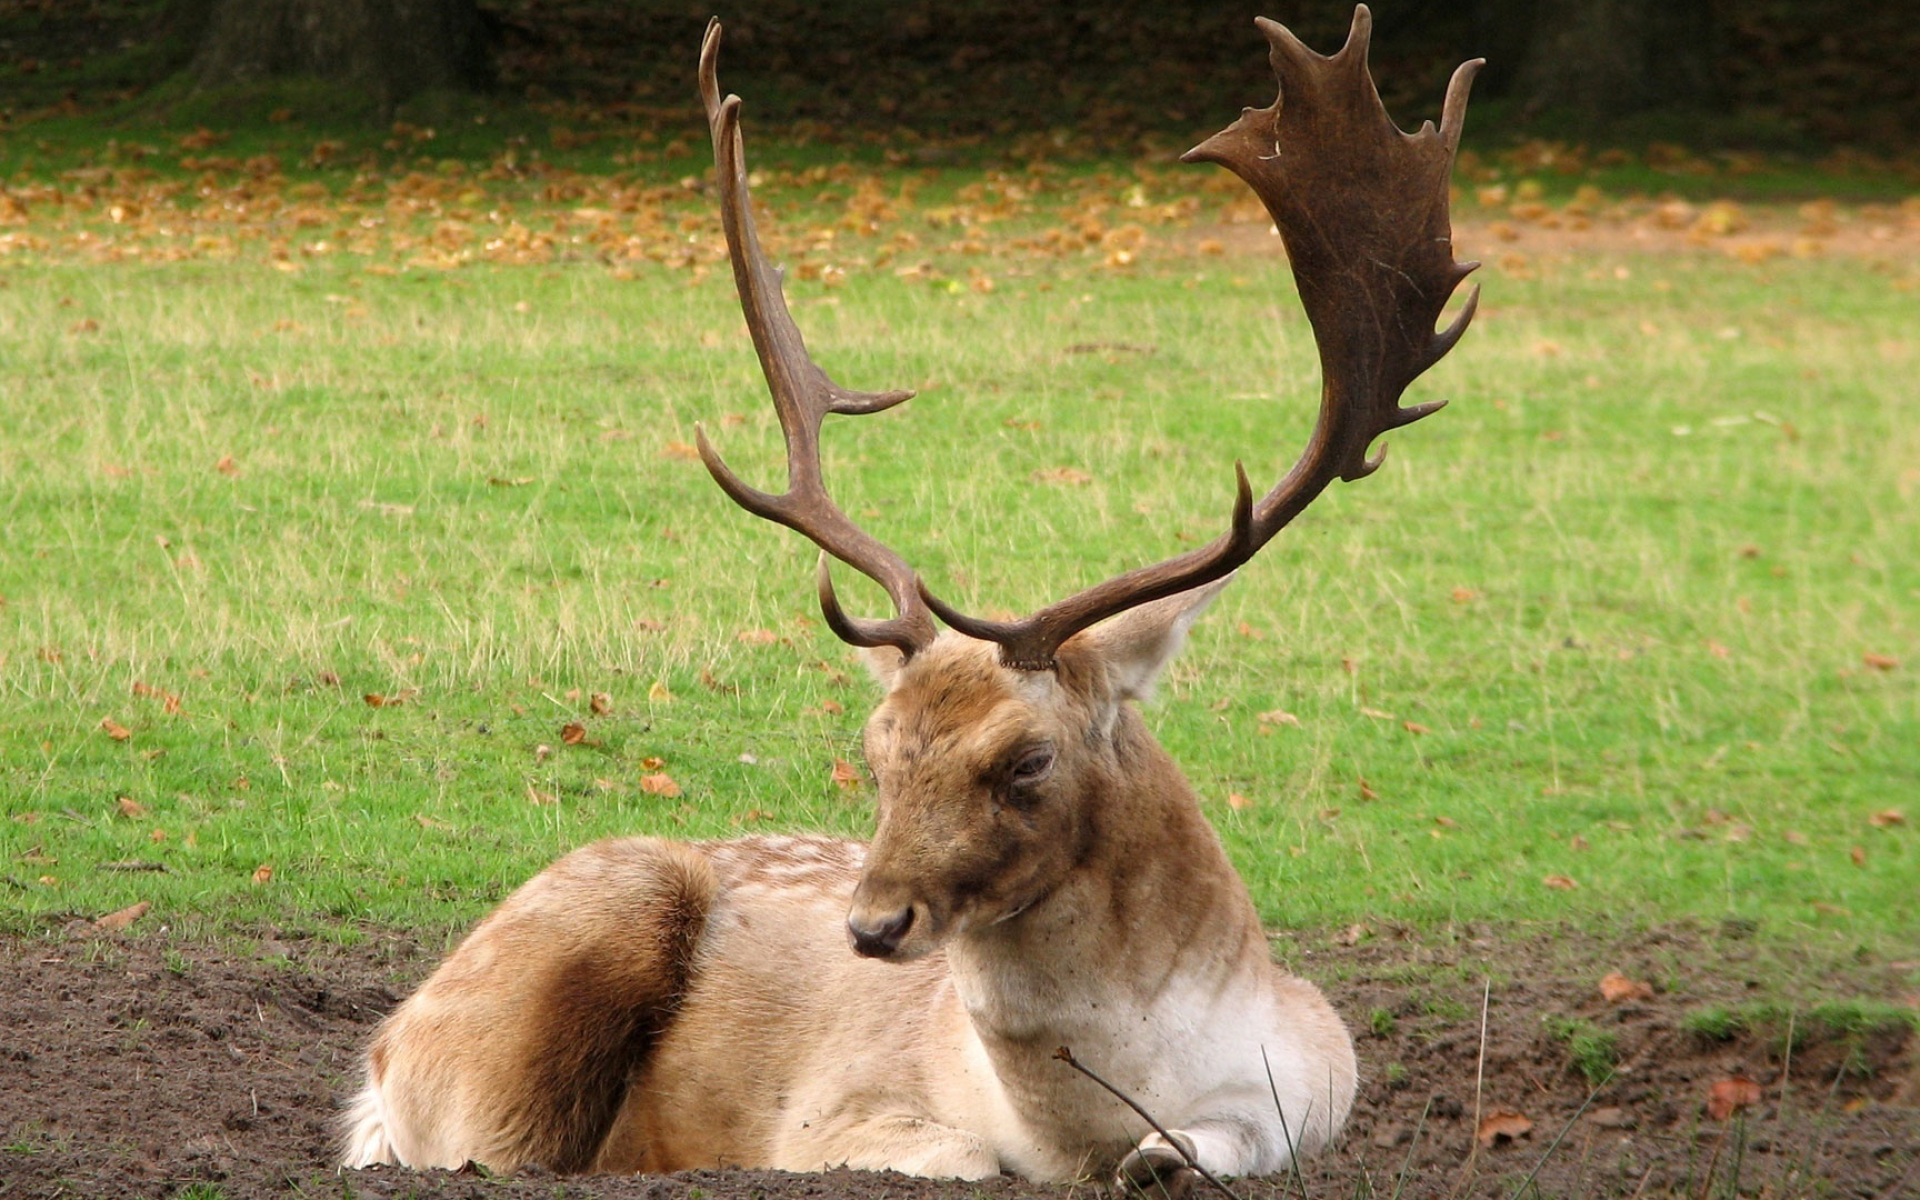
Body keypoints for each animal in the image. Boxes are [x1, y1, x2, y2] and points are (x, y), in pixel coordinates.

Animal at [341, 9, 1482, 1190]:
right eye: (876, 749)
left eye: (1028, 760)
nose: (873, 926)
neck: (1081, 1126)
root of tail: (377, 1062)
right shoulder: (830, 1115)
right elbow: (966, 1160)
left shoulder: (1318, 1078)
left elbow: (1209, 1147)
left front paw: (1163, 1157)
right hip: (539, 997)